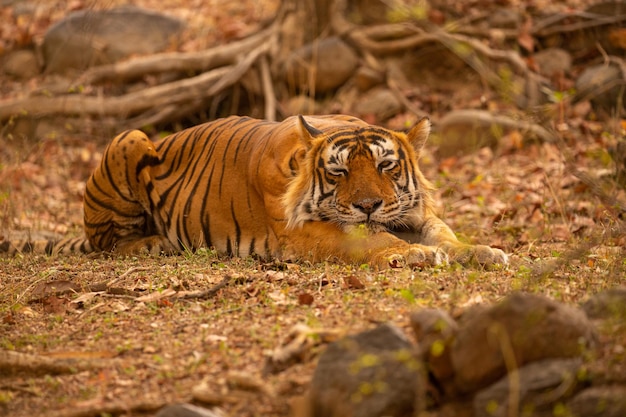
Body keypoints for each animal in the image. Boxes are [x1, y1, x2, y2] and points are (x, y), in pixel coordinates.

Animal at [0, 114, 504, 270]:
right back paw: (153, 244)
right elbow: (371, 237)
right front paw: (414, 254)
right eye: (338, 172)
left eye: (386, 165)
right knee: (107, 244)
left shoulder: (415, 214)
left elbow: (445, 234)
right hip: (130, 138)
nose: (368, 205)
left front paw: (483, 251)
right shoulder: (303, 233)